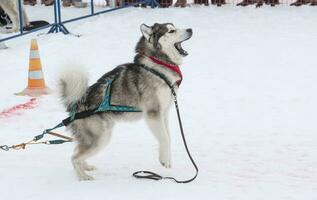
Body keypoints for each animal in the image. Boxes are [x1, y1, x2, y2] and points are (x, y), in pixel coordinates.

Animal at [58, 23, 193, 181]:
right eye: (171, 30)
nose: (190, 29)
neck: (157, 64)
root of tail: (76, 103)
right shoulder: (153, 113)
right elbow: (165, 138)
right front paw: (164, 160)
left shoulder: (164, 113)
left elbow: (168, 137)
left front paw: (167, 159)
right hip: (100, 138)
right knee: (74, 157)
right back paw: (83, 177)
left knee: (77, 151)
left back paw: (86, 167)